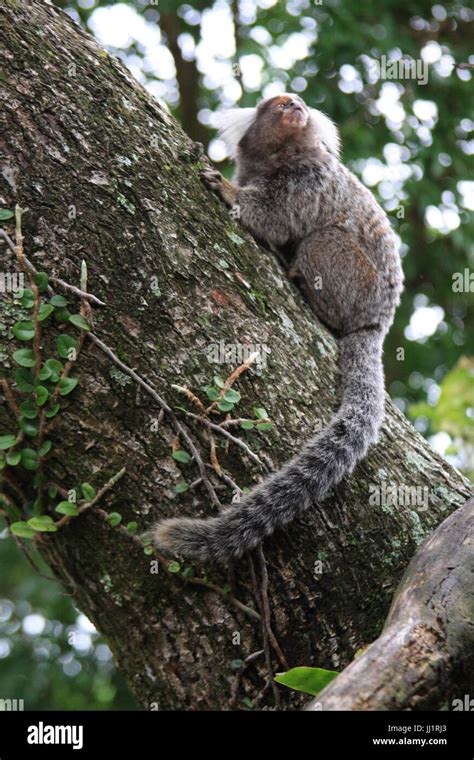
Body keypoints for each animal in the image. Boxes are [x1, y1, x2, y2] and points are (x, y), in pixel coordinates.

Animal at [155, 92, 404, 560]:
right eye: (281, 104)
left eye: (297, 102)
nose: (297, 106)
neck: (282, 157)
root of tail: (377, 321)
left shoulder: (307, 181)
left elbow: (272, 217)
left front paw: (227, 190)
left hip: (354, 279)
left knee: (320, 239)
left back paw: (306, 287)